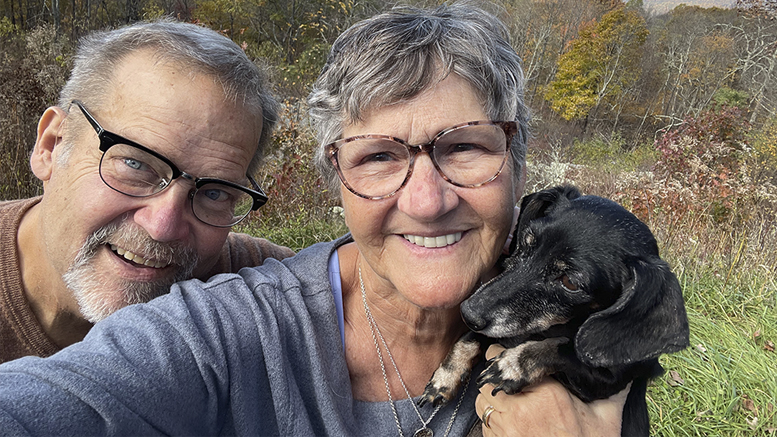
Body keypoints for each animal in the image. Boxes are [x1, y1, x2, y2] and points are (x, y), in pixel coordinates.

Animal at [422, 185, 688, 436]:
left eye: (570, 282)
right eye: (526, 243)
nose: (468, 313)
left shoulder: (606, 382)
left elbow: (563, 349)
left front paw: (514, 365)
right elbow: (469, 340)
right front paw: (444, 378)